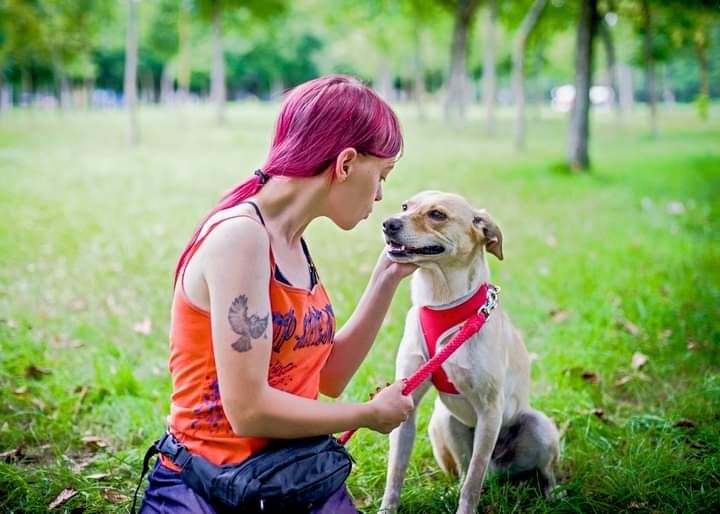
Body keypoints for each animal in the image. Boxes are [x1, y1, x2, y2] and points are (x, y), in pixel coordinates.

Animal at [380, 190, 560, 510]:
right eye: (405, 206)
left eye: (436, 214)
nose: (389, 223)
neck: (440, 302)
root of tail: (498, 473)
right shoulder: (405, 403)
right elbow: (395, 472)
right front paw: (386, 509)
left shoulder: (490, 410)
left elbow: (473, 483)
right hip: (443, 420)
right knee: (465, 471)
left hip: (537, 425)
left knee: (536, 471)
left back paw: (552, 494)